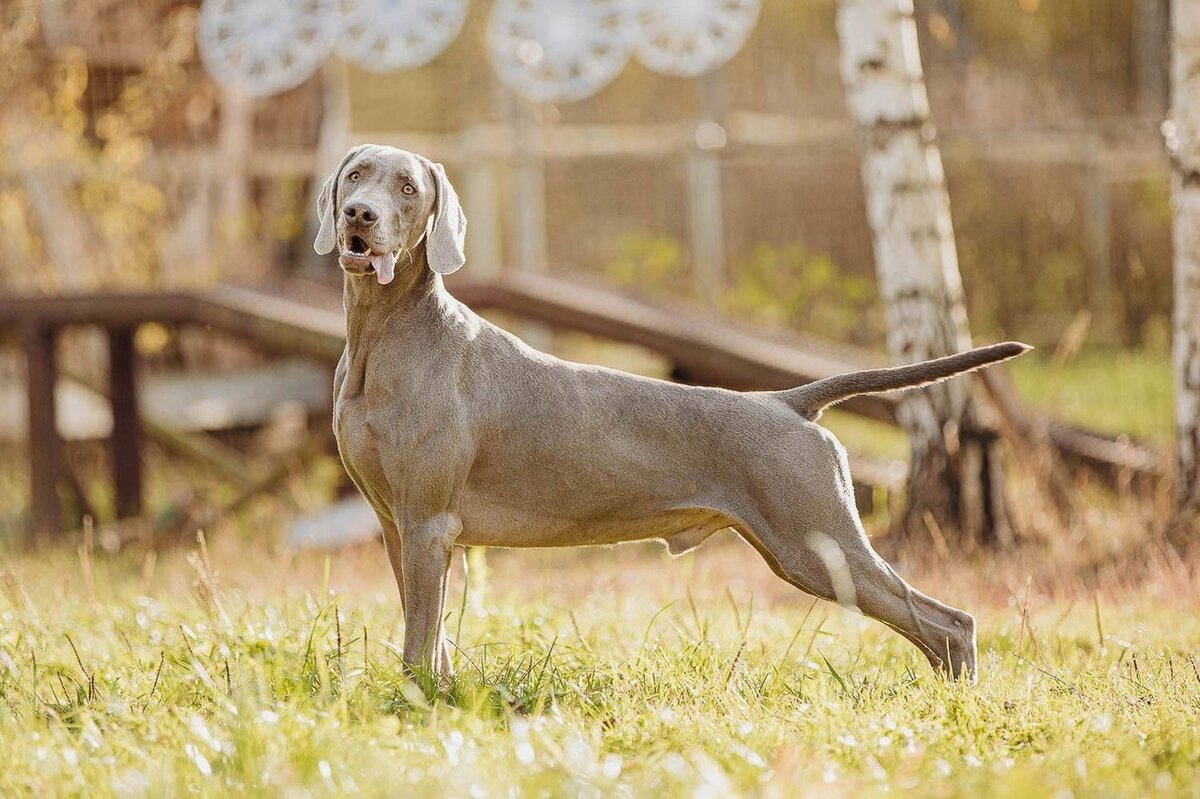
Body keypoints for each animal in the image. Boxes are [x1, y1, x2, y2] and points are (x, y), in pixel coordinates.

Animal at [316, 141, 1032, 676]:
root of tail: (789, 401)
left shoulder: (429, 524)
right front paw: (440, 697)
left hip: (818, 546)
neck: (385, 338)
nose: (358, 215)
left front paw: (415, 706)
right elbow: (431, 635)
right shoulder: (400, 526)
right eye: (355, 175)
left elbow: (418, 641)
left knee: (951, 623)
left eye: (408, 188)